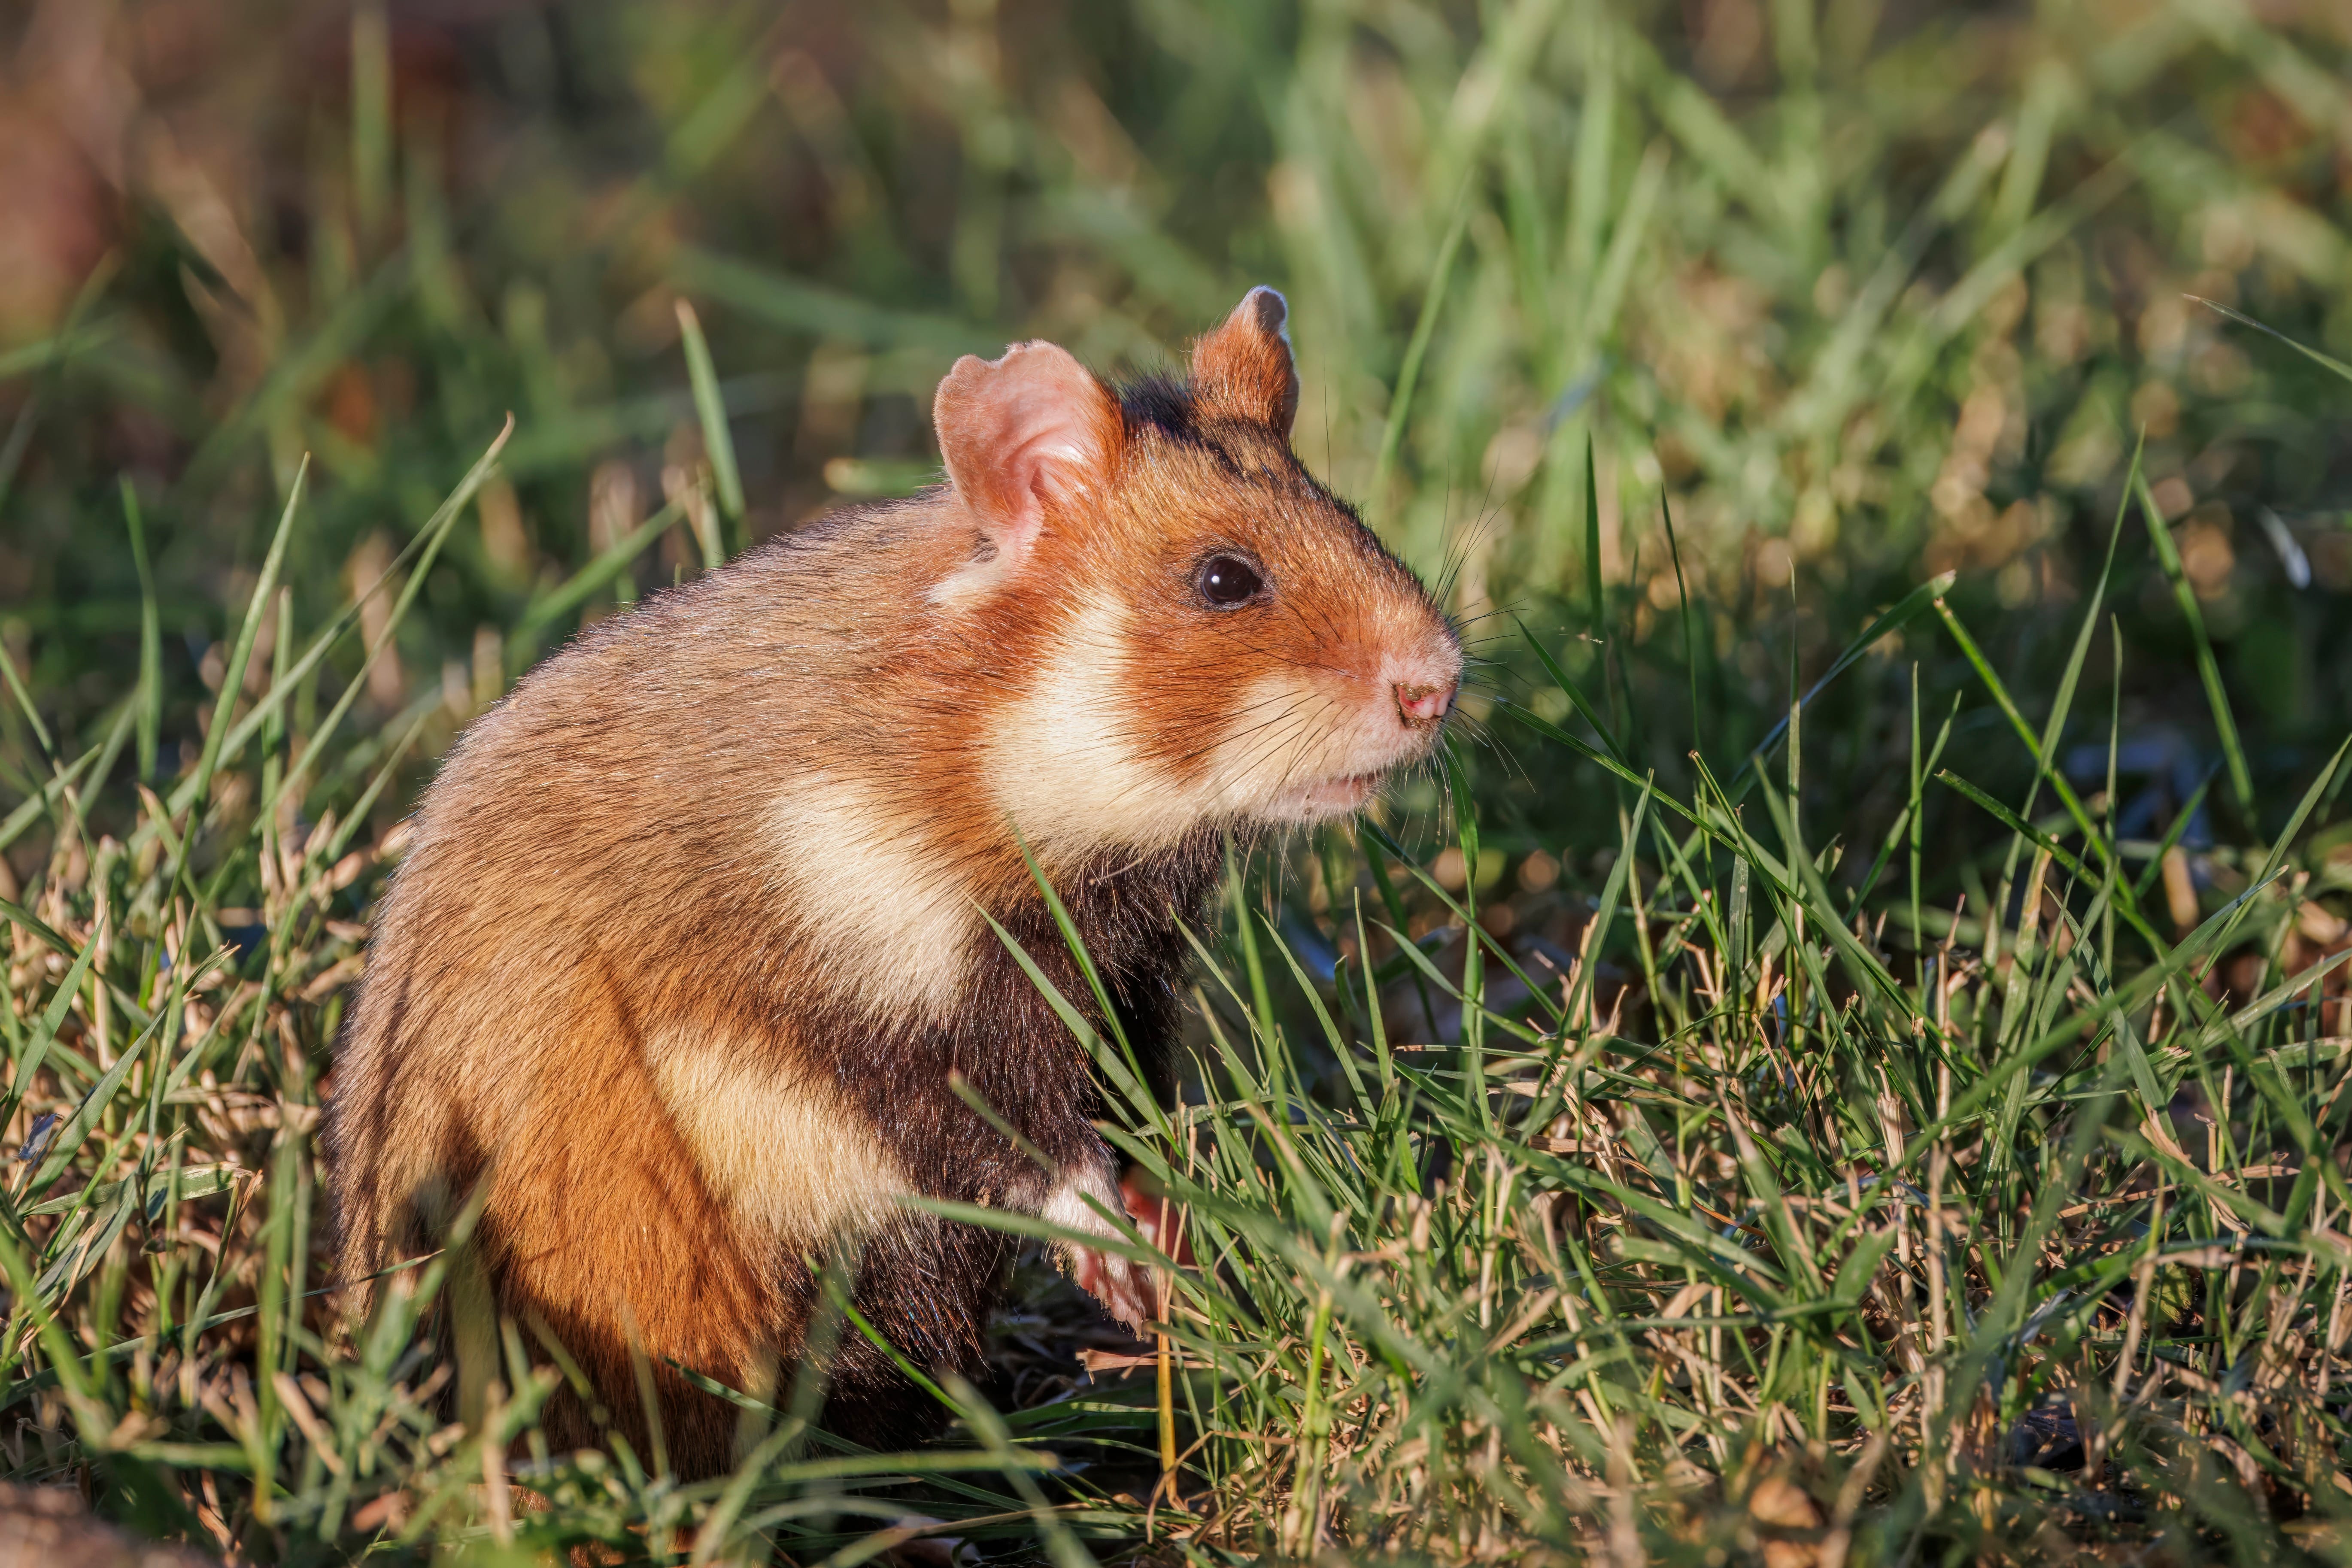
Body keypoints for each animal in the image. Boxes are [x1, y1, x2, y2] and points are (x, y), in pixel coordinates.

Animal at [325, 287, 1462, 1475]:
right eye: (1224, 578)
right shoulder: (883, 1014)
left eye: (1349, 515)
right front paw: (1122, 1266)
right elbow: (1027, 1143)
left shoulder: (1125, 981)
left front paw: (1175, 1241)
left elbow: (1130, 1113)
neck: (994, 753)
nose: (1438, 685)